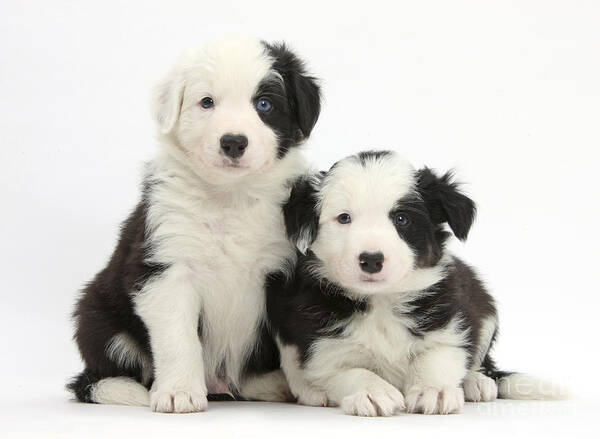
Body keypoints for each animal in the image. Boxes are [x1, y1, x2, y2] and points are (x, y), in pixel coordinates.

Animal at [67, 37, 322, 412]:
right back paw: (130, 390)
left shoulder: (284, 270)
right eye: (207, 102)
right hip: (98, 315)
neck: (229, 197)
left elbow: (293, 340)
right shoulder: (166, 268)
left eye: (264, 104)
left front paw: (312, 386)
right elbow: (179, 337)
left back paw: (270, 384)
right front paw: (178, 392)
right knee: (95, 377)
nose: (233, 142)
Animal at [268, 150, 564, 416]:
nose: (371, 260)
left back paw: (476, 382)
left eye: (402, 219)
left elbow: (437, 357)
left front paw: (433, 390)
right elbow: (348, 370)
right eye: (344, 218)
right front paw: (373, 391)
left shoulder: (449, 322)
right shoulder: (322, 344)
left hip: (484, 306)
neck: (381, 301)